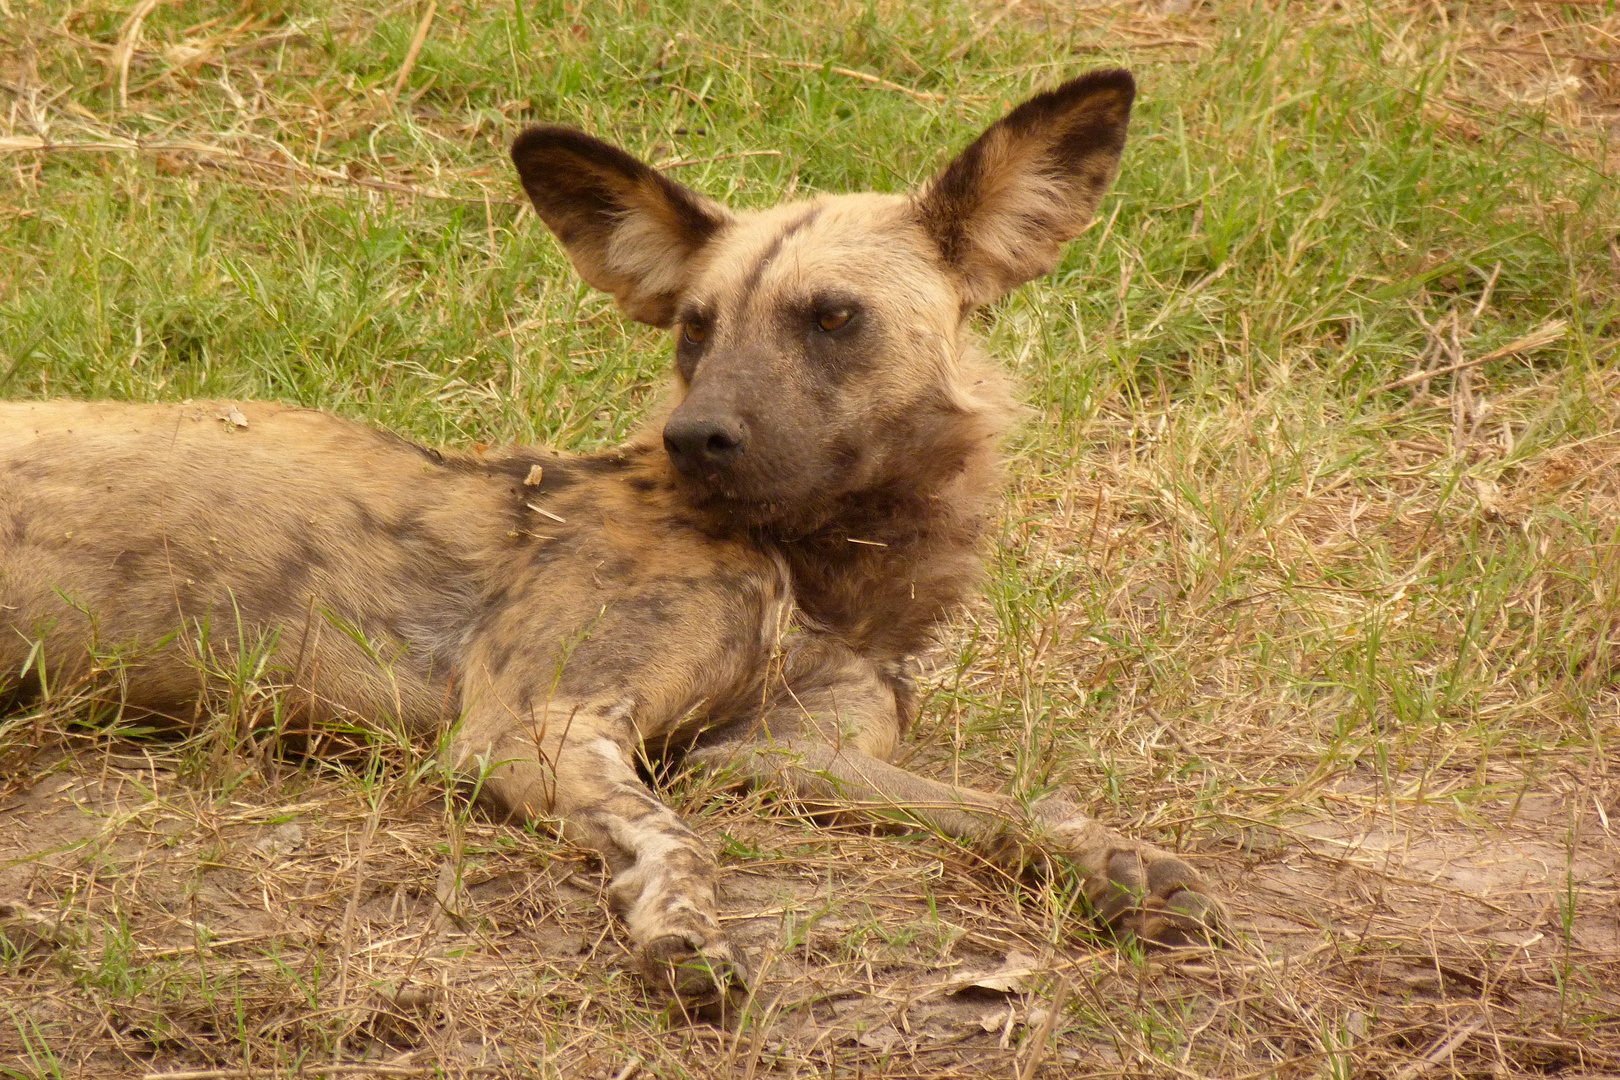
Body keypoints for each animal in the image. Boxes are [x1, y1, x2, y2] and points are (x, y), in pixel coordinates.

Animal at [0, 71, 1218, 1010]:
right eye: (694, 328)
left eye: (833, 318)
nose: (697, 436)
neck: (814, 573)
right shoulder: (538, 729)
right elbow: (679, 840)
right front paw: (685, 940)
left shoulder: (781, 755)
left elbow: (994, 806)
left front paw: (1116, 866)